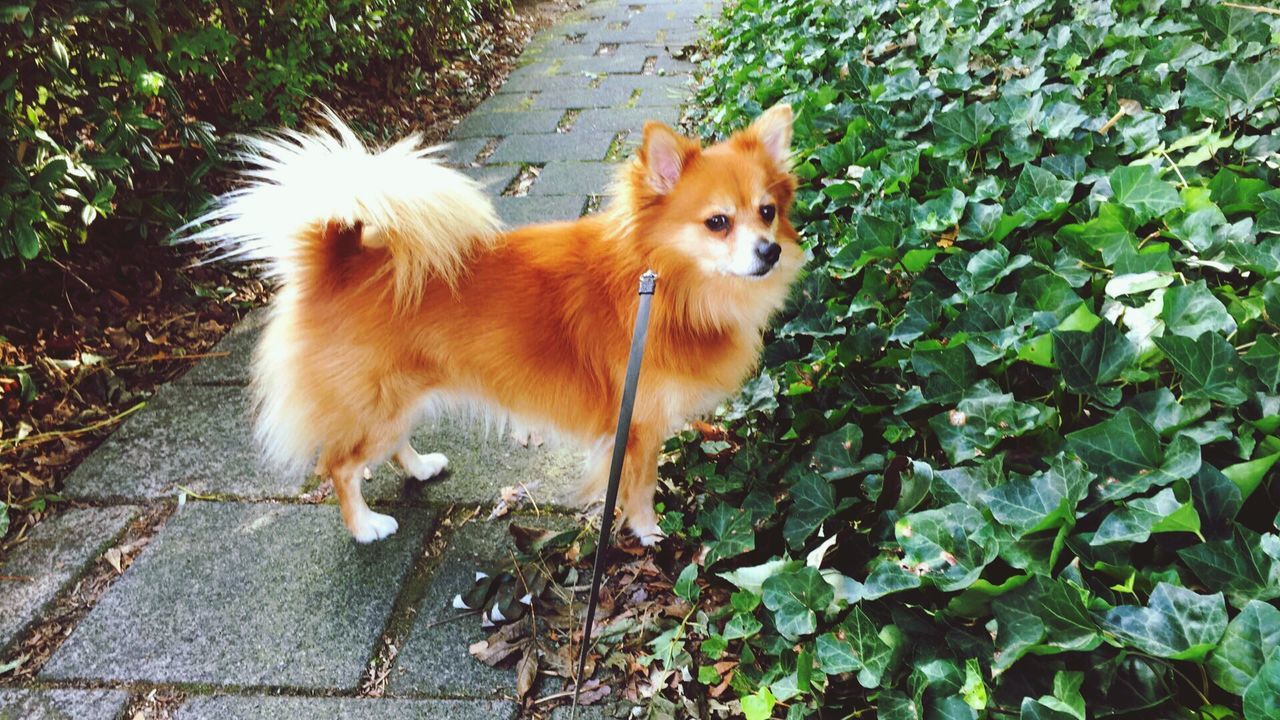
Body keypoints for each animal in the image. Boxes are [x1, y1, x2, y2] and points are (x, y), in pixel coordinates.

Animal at [185, 103, 803, 540]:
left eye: (767, 212)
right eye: (718, 222)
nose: (770, 251)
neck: (666, 287)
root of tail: (339, 260)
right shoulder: (637, 428)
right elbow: (641, 490)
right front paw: (650, 533)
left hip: (402, 397)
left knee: (385, 445)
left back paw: (421, 468)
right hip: (376, 404)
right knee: (338, 465)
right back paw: (365, 527)